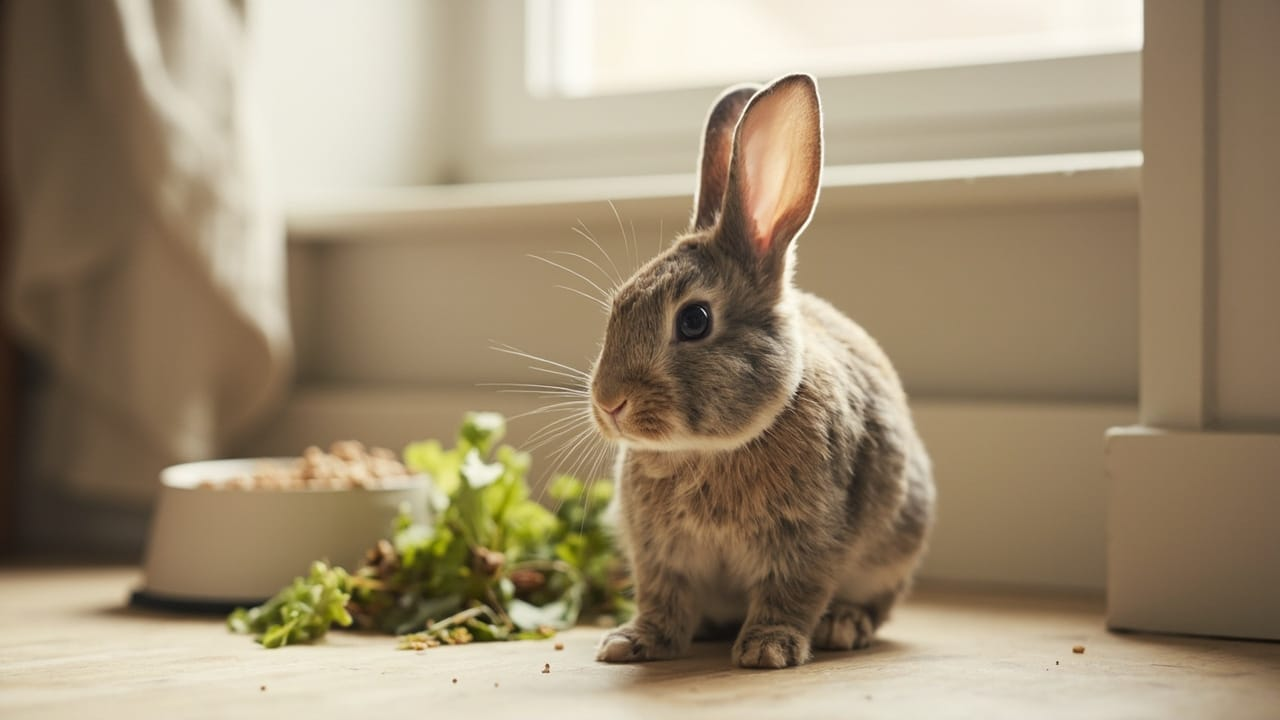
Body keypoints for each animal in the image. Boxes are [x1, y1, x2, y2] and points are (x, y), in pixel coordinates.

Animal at [588, 74, 935, 669]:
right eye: (618, 306)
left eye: (695, 320)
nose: (609, 403)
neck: (708, 451)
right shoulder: (658, 554)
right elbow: (662, 597)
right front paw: (630, 642)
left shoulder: (809, 540)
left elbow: (790, 593)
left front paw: (767, 649)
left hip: (896, 547)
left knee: (876, 604)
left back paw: (844, 626)